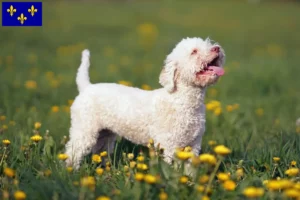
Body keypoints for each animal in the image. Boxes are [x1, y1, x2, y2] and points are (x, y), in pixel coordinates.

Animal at [65, 37, 225, 169]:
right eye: (194, 51)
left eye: (208, 44)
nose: (217, 48)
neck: (181, 100)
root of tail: (86, 86)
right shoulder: (168, 144)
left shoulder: (193, 144)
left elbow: (189, 169)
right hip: (84, 129)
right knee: (72, 151)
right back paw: (71, 171)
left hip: (105, 134)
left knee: (100, 151)